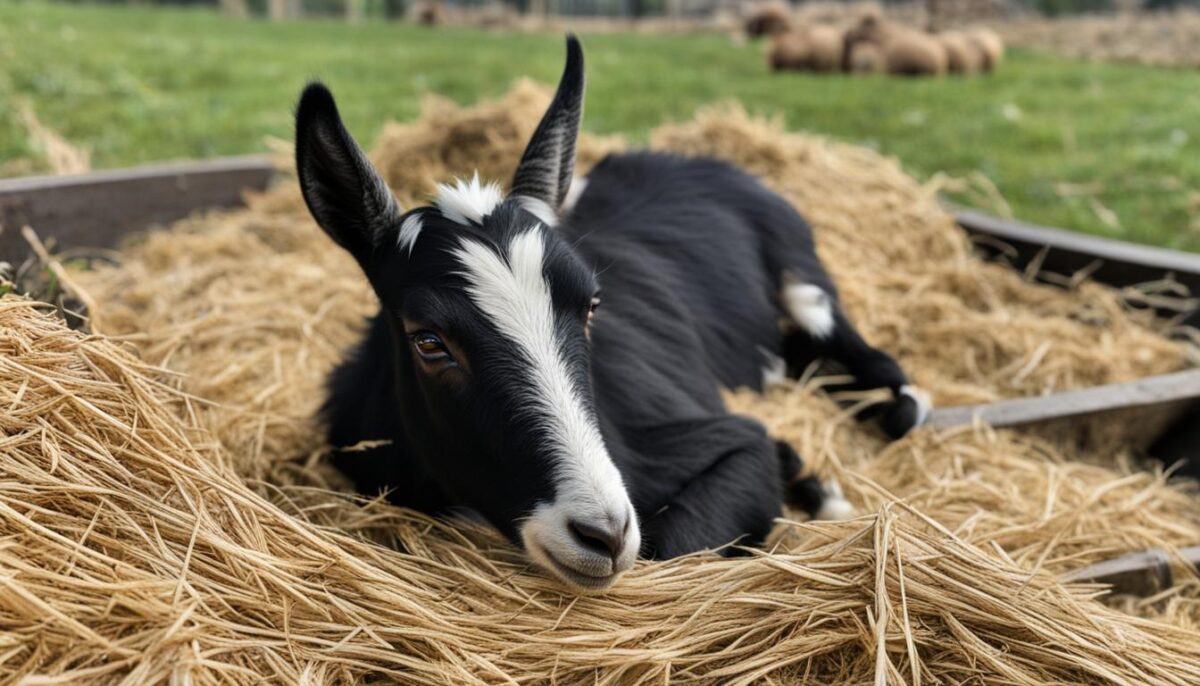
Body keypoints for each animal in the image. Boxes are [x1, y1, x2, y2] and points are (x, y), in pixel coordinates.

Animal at [295, 36, 929, 591]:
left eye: (592, 308)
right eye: (428, 341)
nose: (602, 534)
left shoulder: (726, 442)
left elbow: (674, 537)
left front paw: (804, 473)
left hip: (803, 273)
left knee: (888, 380)